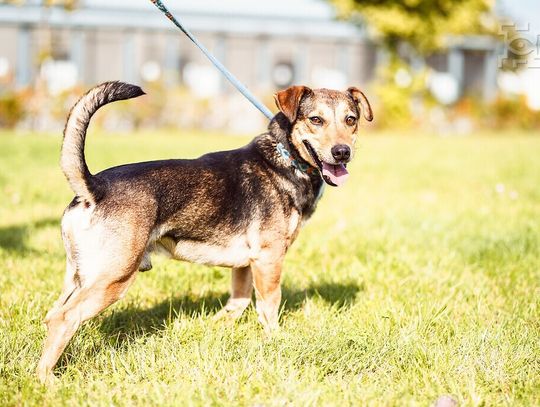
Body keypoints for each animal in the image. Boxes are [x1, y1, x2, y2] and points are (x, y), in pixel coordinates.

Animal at [34, 81, 372, 384]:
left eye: (350, 120)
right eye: (316, 120)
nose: (342, 152)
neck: (286, 158)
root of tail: (94, 187)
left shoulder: (245, 264)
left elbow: (238, 302)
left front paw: (215, 328)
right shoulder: (269, 258)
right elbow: (268, 304)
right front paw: (276, 341)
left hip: (79, 276)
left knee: (53, 315)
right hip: (113, 278)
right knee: (65, 319)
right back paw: (46, 379)